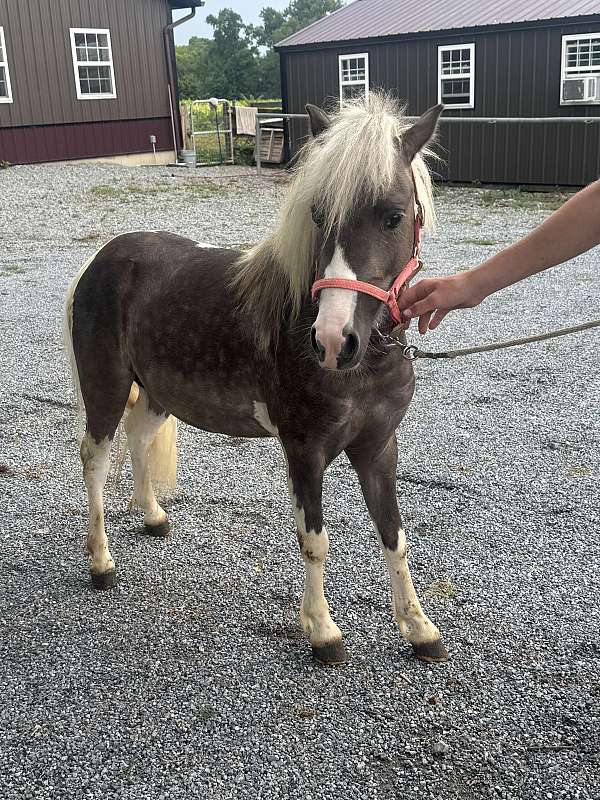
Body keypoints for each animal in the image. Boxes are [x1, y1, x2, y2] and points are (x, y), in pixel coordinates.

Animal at [64, 93, 447, 665]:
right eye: (317, 214)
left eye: (394, 216)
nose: (333, 340)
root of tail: (100, 258)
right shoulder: (305, 450)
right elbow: (315, 538)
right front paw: (322, 632)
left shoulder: (378, 446)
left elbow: (393, 535)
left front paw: (419, 630)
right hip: (105, 390)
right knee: (96, 458)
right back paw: (101, 563)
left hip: (158, 392)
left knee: (140, 437)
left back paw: (153, 516)